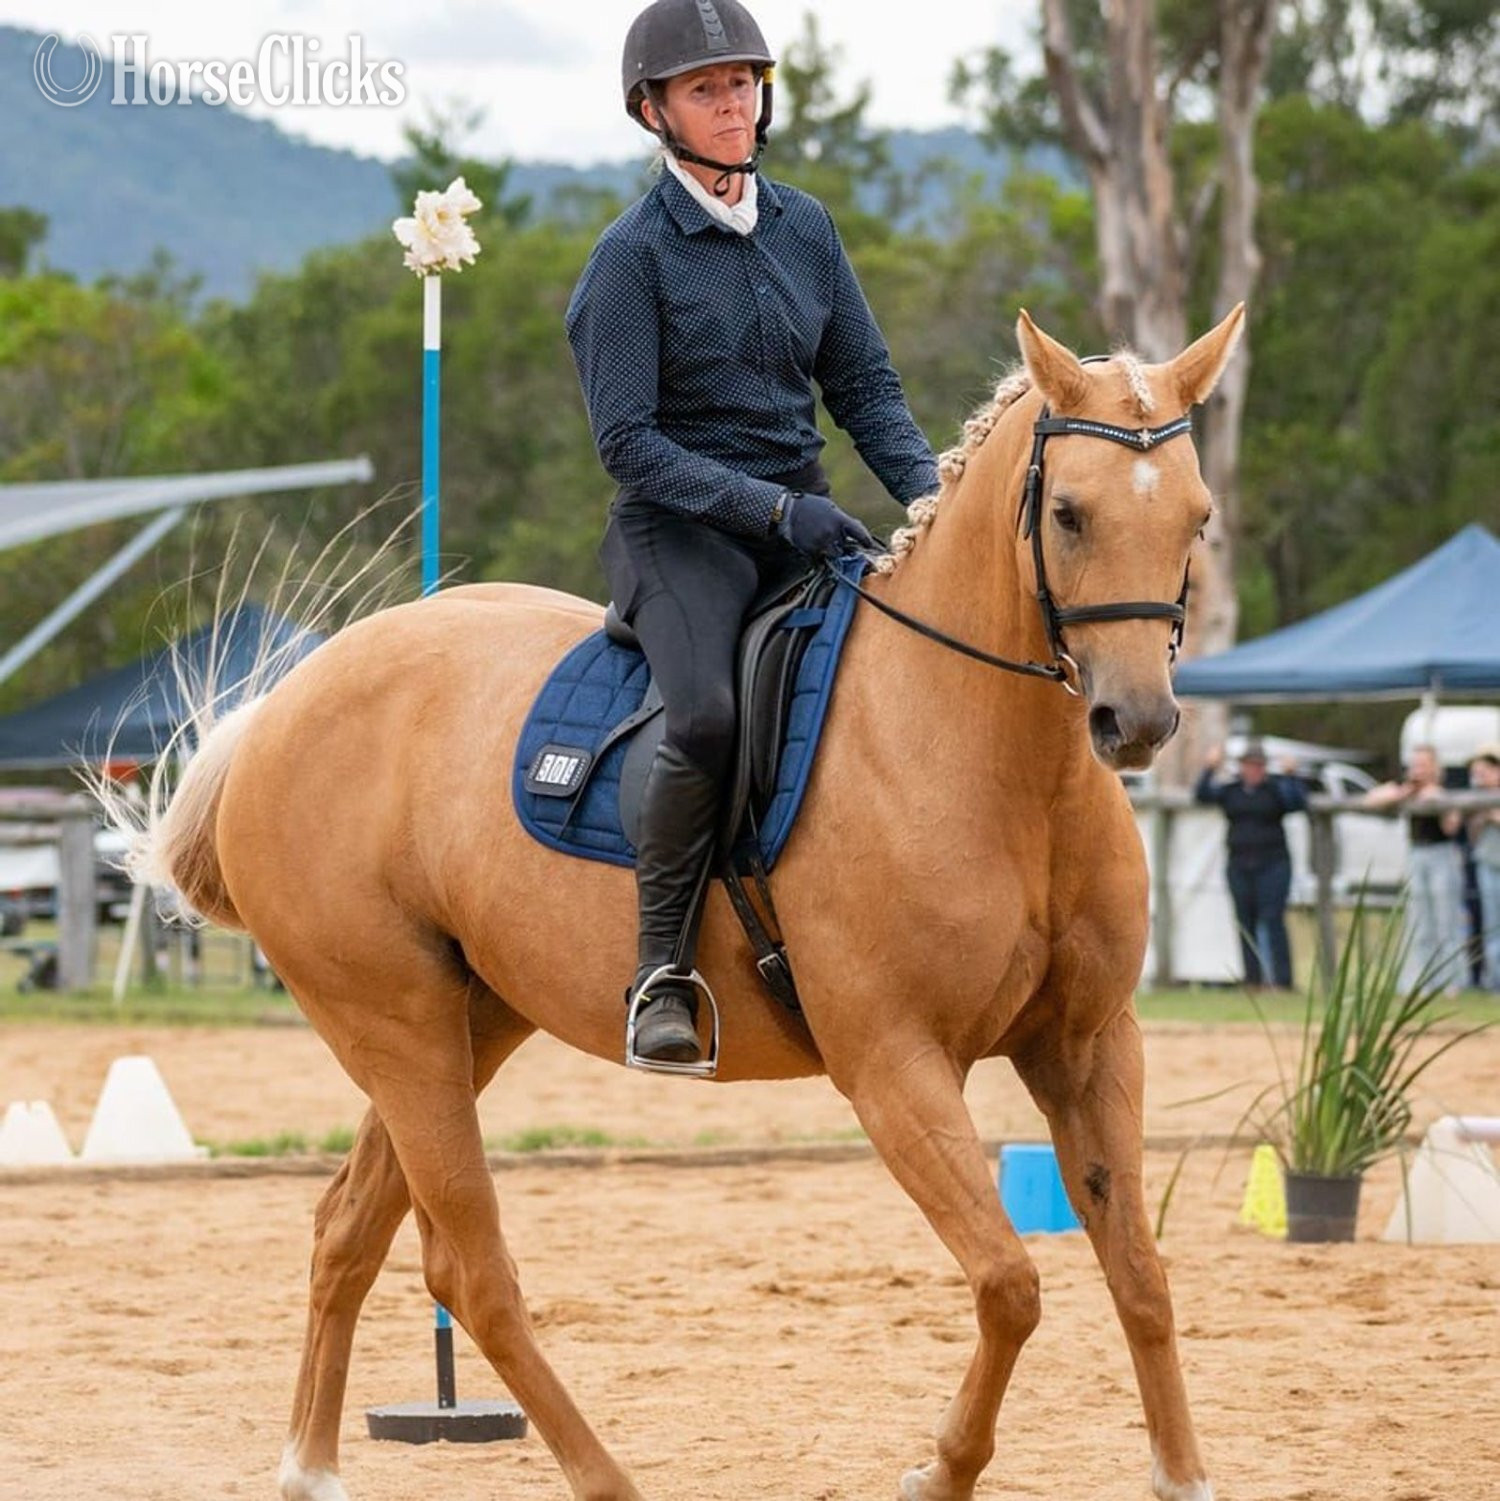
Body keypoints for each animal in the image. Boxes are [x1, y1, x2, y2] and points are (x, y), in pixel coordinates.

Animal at [117, 306, 1242, 1501]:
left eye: (1197, 517)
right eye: (1068, 513)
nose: (1136, 723)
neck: (987, 759)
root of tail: (287, 704)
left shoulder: (1087, 1045)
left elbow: (1141, 1275)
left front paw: (1183, 1477)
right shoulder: (893, 1064)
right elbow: (1008, 1283)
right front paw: (940, 1470)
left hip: (463, 1024)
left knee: (348, 1228)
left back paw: (312, 1468)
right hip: (397, 1026)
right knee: (469, 1268)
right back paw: (603, 1477)